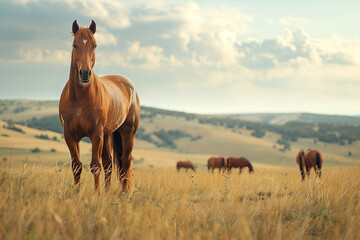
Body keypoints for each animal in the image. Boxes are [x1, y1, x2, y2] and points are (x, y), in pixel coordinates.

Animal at [58, 19, 140, 194]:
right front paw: (76, 192)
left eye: (94, 45)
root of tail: (129, 86)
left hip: (127, 132)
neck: (80, 99)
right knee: (109, 163)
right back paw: (108, 191)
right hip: (108, 133)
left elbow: (95, 165)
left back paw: (124, 192)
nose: (84, 74)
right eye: (75, 45)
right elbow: (77, 165)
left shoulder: (96, 134)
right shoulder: (69, 135)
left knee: (125, 160)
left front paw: (96, 194)